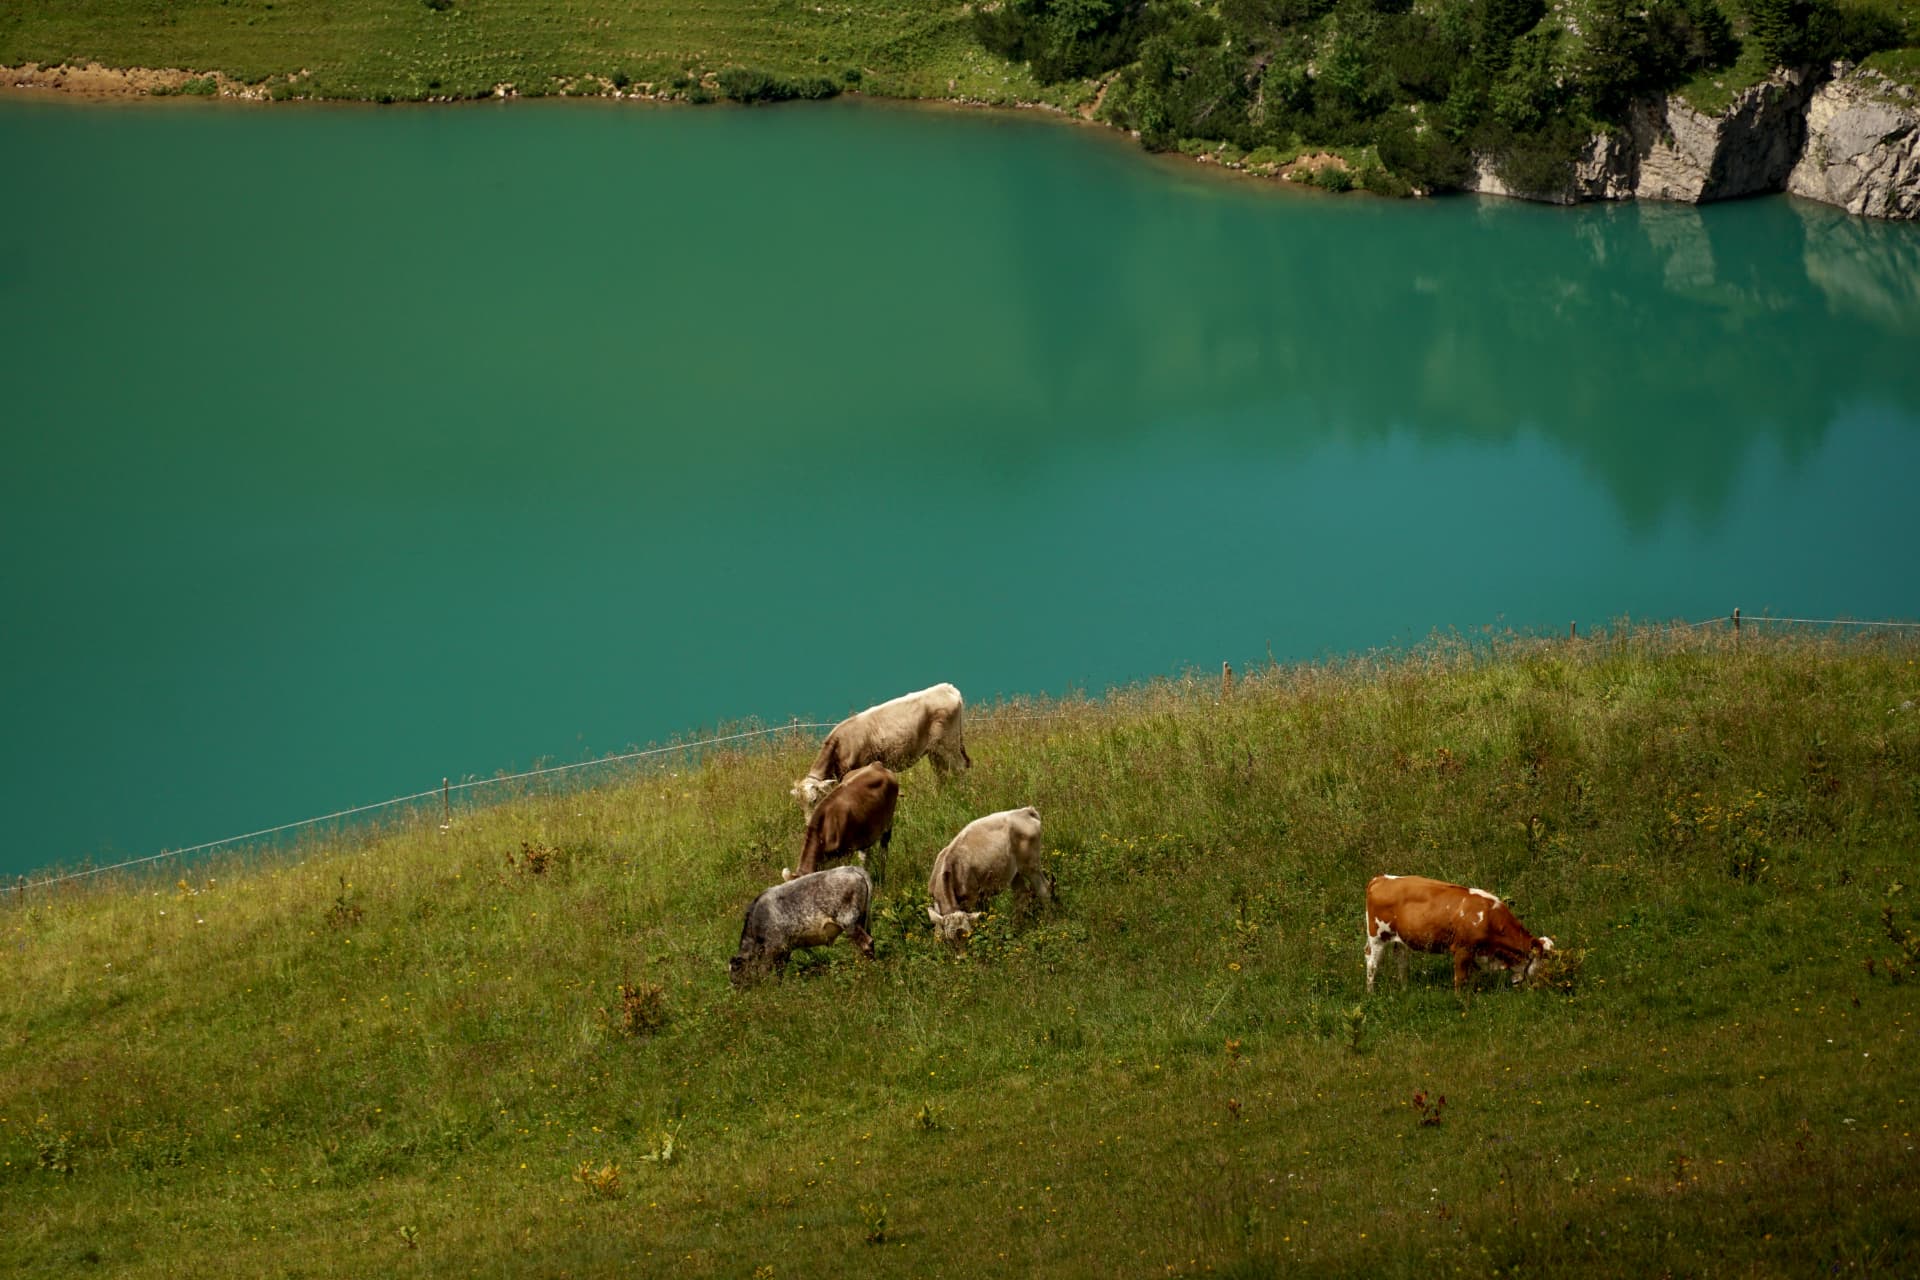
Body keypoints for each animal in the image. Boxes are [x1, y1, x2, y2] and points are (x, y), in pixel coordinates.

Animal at [730, 866, 874, 987]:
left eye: (736, 970)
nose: (734, 987)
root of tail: (853, 869)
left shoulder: (773, 947)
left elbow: (766, 969)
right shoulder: (785, 947)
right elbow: (780, 970)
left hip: (849, 922)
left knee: (867, 943)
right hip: (863, 919)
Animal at [792, 683, 971, 813]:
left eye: (814, 800)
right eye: (800, 805)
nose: (810, 823)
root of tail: (947, 687)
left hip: (948, 744)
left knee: (960, 768)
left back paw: (962, 796)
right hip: (935, 750)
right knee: (942, 773)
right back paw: (939, 797)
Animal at [925, 806, 1050, 946]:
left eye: (968, 936)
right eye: (950, 940)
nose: (962, 954)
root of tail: (1024, 811)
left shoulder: (972, 897)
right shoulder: (936, 899)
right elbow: (937, 927)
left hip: (1031, 865)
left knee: (1043, 889)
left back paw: (1048, 920)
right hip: (1014, 872)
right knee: (1021, 895)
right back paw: (1015, 927)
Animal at [1364, 874, 1555, 992]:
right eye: (1544, 961)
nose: (1544, 986)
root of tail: (1380, 878)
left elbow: (1472, 976)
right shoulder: (1462, 949)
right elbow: (1460, 978)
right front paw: (1461, 1000)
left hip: (1400, 938)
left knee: (1401, 961)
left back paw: (1405, 989)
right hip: (1377, 936)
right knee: (1372, 963)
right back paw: (1371, 993)